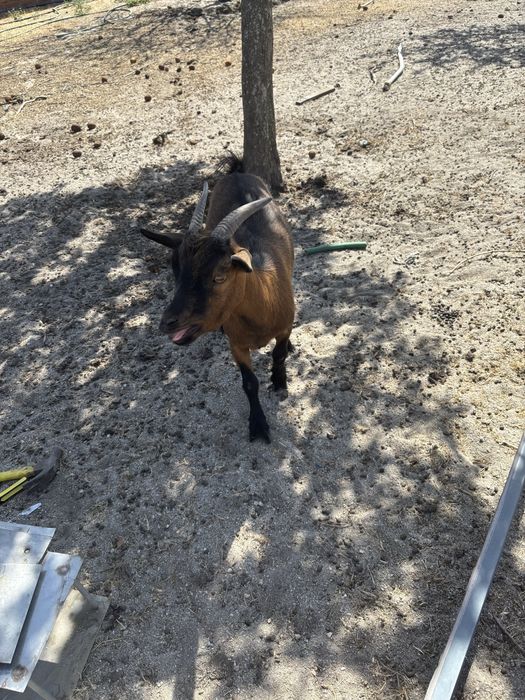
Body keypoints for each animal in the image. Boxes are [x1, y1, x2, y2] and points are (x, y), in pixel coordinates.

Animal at [141, 156, 295, 443]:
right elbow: (249, 383)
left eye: (219, 276)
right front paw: (258, 425)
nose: (168, 323)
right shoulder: (237, 344)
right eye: (175, 270)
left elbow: (279, 355)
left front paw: (280, 383)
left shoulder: (283, 327)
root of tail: (236, 173)